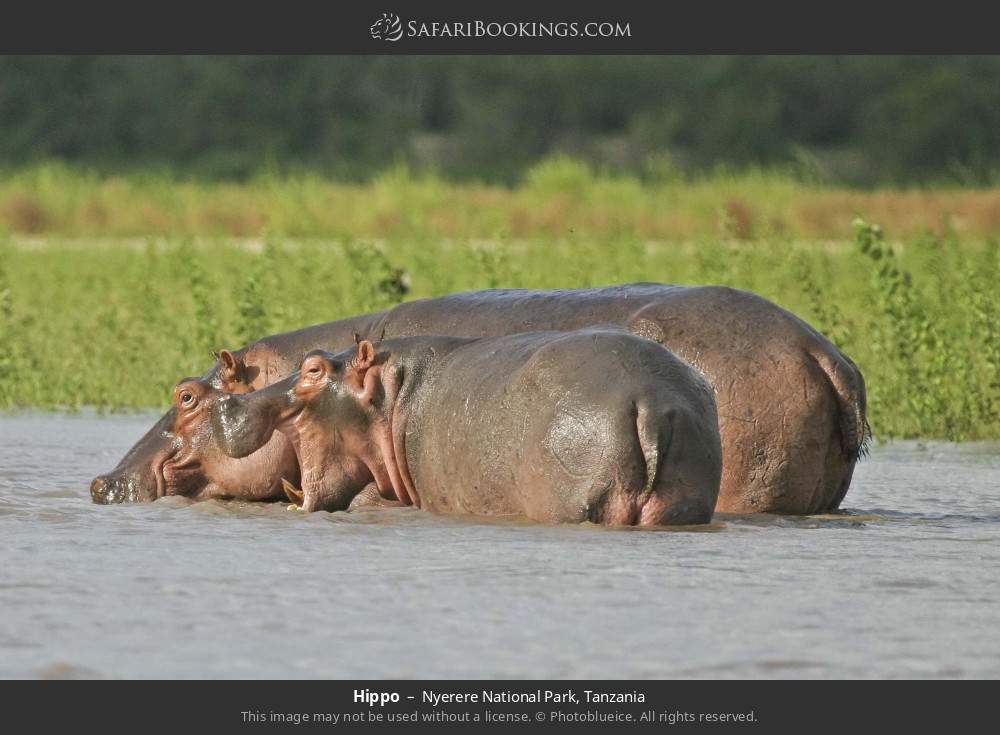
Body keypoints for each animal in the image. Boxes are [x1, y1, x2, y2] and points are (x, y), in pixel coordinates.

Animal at [210, 330, 723, 525]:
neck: (391, 395)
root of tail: (649, 402)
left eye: (313, 369)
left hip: (581, 500)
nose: (227, 401)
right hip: (679, 501)